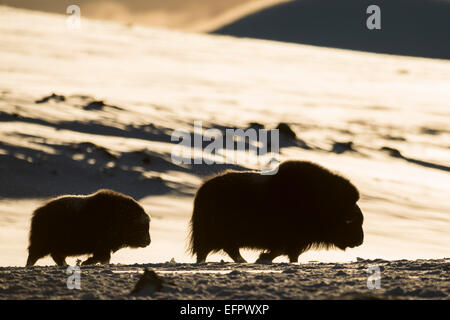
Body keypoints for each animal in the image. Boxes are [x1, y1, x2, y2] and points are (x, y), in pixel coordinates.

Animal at [188, 160, 364, 262]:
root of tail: (204, 189)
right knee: (214, 251)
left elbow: (290, 254)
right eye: (353, 222)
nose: (360, 241)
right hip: (214, 235)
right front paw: (263, 258)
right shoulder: (291, 238)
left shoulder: (297, 241)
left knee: (228, 250)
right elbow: (281, 250)